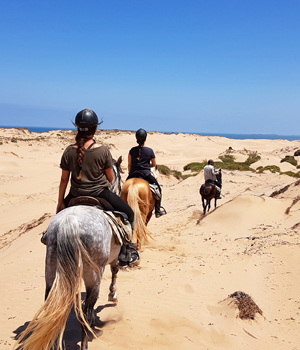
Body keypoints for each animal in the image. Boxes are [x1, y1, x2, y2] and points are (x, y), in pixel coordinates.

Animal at [14, 157, 123, 350]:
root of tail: (69, 220)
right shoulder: (113, 258)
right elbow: (115, 272)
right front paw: (113, 296)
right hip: (93, 275)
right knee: (85, 312)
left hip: (51, 271)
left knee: (52, 308)